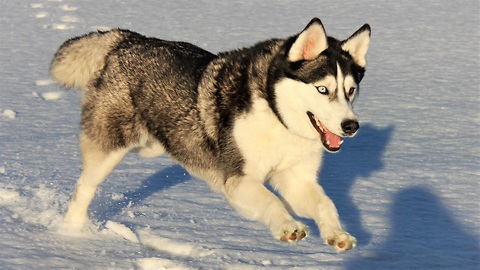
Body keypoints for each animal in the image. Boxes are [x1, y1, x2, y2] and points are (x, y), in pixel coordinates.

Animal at [49, 17, 372, 252]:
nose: (351, 126)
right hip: (110, 147)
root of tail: (125, 38)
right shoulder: (238, 178)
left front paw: (337, 233)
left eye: (351, 90)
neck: (277, 116)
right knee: (84, 189)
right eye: (323, 89)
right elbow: (271, 201)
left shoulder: (296, 177)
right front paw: (287, 226)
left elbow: (324, 203)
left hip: (152, 143)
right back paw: (73, 234)